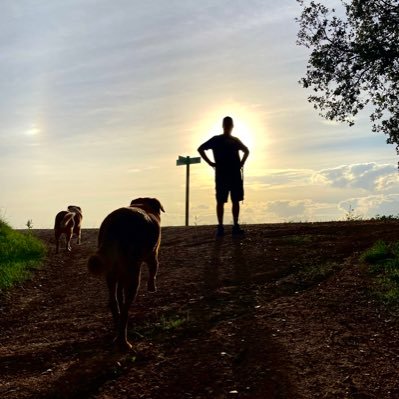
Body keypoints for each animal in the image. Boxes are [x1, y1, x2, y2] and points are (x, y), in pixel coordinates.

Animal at [88, 198, 165, 352]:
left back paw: (117, 329)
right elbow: (154, 269)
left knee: (114, 302)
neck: (143, 206)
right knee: (125, 310)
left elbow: (119, 292)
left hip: (111, 270)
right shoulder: (153, 254)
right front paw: (152, 287)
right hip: (134, 273)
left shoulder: (119, 273)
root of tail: (116, 222)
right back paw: (123, 341)